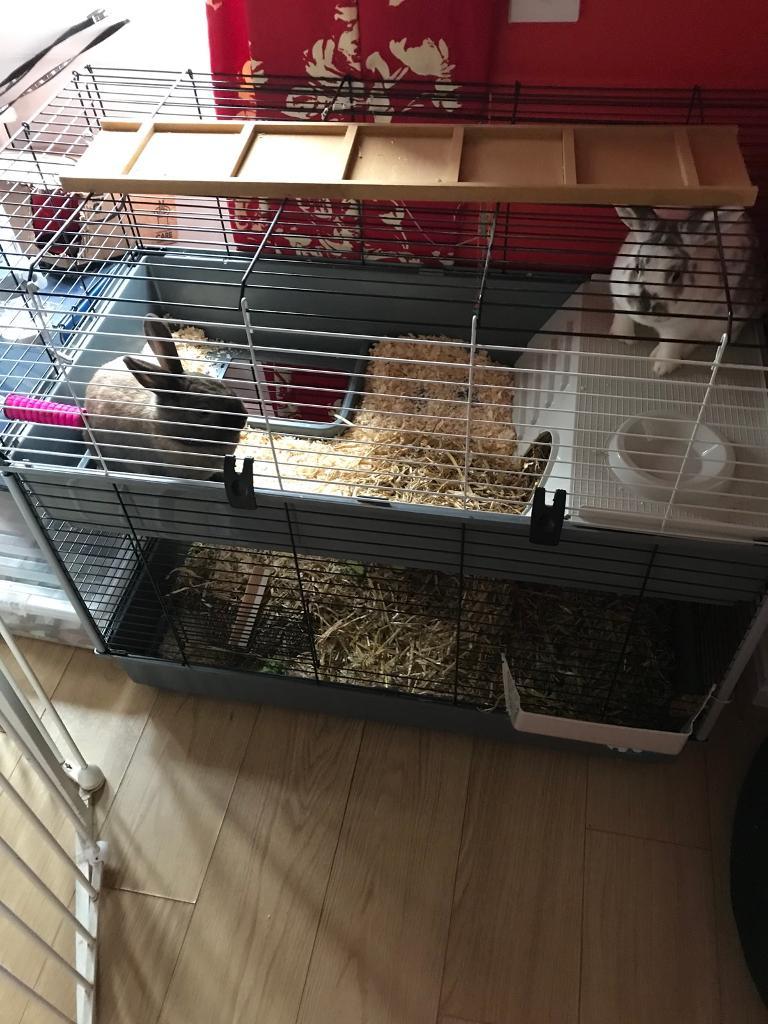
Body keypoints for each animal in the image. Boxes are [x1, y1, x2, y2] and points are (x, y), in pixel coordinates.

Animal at [609, 206, 766, 376]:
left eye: (676, 276)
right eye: (637, 267)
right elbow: (623, 319)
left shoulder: (679, 329)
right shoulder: (619, 301)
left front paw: (661, 368)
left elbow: (670, 347)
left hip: (722, 324)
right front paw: (624, 338)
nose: (645, 306)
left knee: (701, 340)